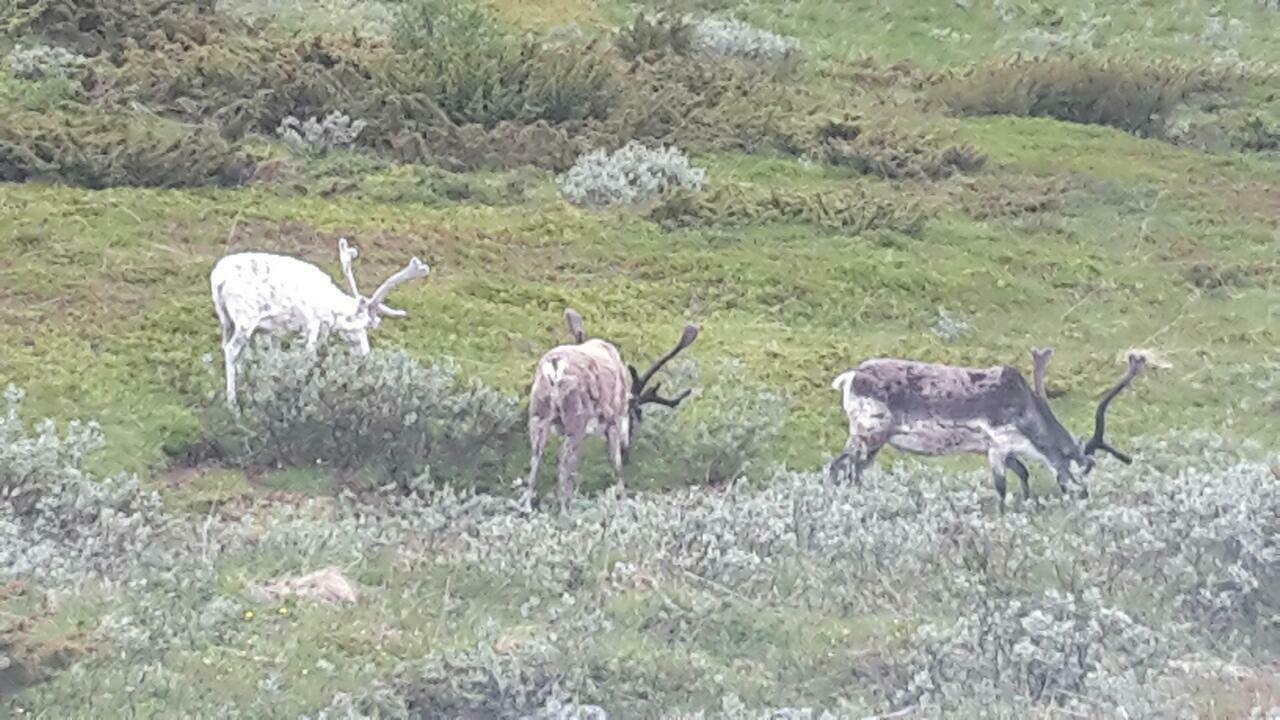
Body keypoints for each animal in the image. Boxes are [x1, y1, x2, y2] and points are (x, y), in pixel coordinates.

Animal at [210, 238, 429, 405]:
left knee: (226, 347)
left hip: (225, 319)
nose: (365, 354)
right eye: (361, 326)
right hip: (245, 316)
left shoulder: (276, 330)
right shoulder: (312, 322)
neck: (330, 307)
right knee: (231, 350)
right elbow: (309, 355)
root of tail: (217, 280)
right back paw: (232, 402)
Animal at [523, 308, 699, 512]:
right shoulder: (613, 421)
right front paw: (622, 502)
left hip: (538, 414)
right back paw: (566, 510)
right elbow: (616, 466)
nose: (626, 446)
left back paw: (528, 508)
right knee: (563, 461)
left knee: (535, 459)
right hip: (576, 418)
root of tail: (555, 365)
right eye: (636, 415)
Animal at [828, 349, 1146, 512]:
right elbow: (1002, 486)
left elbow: (1024, 473)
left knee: (854, 472)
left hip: (875, 441)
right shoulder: (997, 445)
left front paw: (1028, 505)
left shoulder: (1005, 449)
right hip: (868, 430)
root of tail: (850, 376)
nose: (1085, 498)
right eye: (1083, 468)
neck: (1027, 415)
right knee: (838, 467)